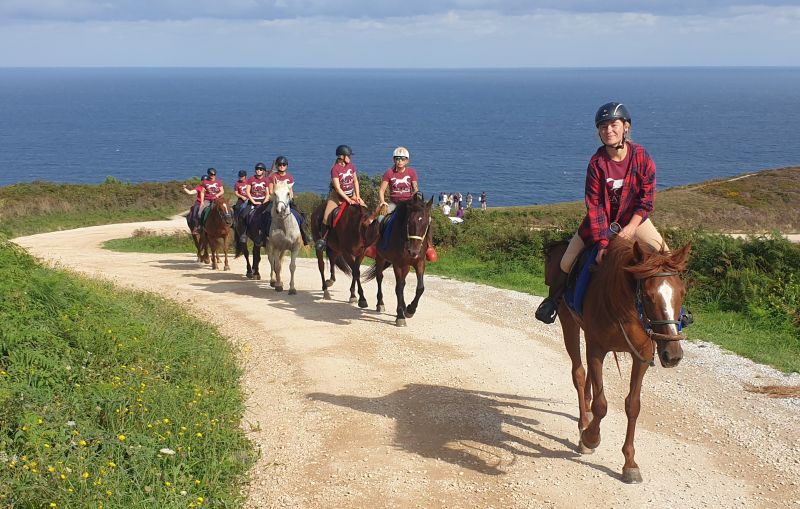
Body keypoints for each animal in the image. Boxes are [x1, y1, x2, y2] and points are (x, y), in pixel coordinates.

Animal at [362, 192, 434, 328]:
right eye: (410, 222)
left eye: (426, 224)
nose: (413, 251)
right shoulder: (398, 264)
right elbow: (399, 288)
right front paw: (400, 315)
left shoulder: (419, 263)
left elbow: (420, 288)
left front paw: (410, 309)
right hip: (380, 258)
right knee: (380, 278)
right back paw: (380, 304)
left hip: (406, 265)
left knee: (402, 282)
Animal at [544, 236, 692, 482]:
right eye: (648, 296)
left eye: (682, 293)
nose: (672, 355)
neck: (626, 307)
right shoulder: (596, 350)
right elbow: (601, 405)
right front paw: (590, 438)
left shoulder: (642, 356)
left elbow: (633, 406)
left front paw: (629, 463)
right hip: (569, 323)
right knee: (579, 373)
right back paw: (584, 423)